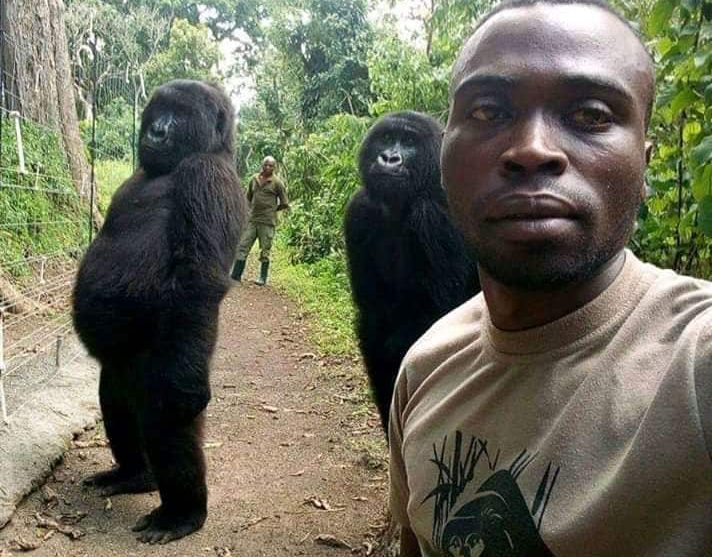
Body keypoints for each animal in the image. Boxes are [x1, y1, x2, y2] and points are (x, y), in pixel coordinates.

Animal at [72, 79, 245, 544]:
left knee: (166, 421)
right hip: (120, 369)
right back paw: (134, 475)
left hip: (165, 364)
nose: (158, 130)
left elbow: (197, 284)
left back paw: (182, 513)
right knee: (115, 399)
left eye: (180, 115)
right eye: (159, 110)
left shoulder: (207, 177)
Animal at [344, 112, 478, 434]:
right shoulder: (359, 210)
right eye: (386, 138)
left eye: (408, 141)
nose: (389, 158)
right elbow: (373, 323)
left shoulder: (434, 216)